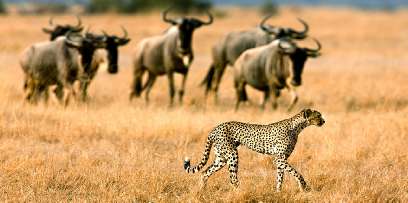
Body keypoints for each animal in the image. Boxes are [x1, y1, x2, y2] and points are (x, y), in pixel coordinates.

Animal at [184, 108, 326, 191]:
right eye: (318, 116)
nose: (324, 121)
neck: (297, 127)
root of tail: (215, 128)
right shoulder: (279, 159)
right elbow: (296, 173)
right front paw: (304, 186)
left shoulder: (281, 160)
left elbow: (280, 178)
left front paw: (278, 192)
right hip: (232, 155)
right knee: (232, 178)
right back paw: (241, 191)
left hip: (221, 158)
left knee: (205, 172)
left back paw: (202, 190)